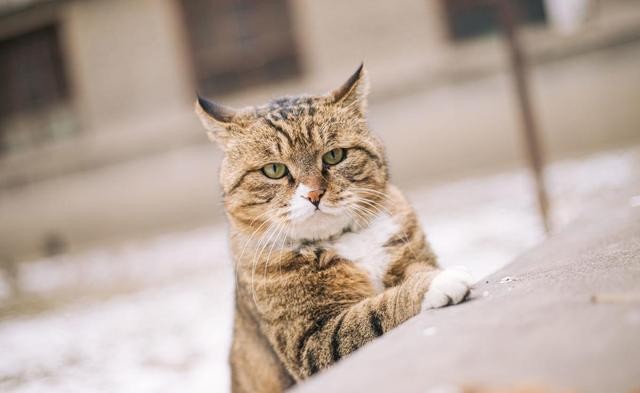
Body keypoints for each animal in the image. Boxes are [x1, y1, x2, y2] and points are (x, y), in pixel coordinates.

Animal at [196, 64, 476, 392]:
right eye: (274, 170)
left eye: (334, 155)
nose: (314, 194)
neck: (345, 240)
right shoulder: (310, 342)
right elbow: (370, 314)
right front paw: (435, 284)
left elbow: (415, 267)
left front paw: (428, 275)